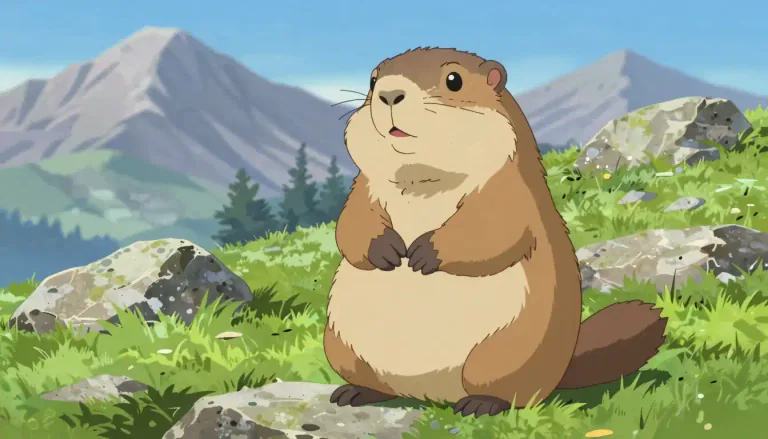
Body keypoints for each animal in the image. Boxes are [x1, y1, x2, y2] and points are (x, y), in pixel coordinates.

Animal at [323, 47, 668, 418]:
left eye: (454, 80)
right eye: (372, 80)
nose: (389, 93)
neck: (421, 179)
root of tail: (427, 394)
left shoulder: (507, 184)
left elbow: (495, 225)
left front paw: (423, 252)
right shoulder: (365, 185)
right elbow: (353, 219)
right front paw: (387, 250)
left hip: (505, 351)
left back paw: (480, 403)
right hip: (341, 344)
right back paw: (353, 392)